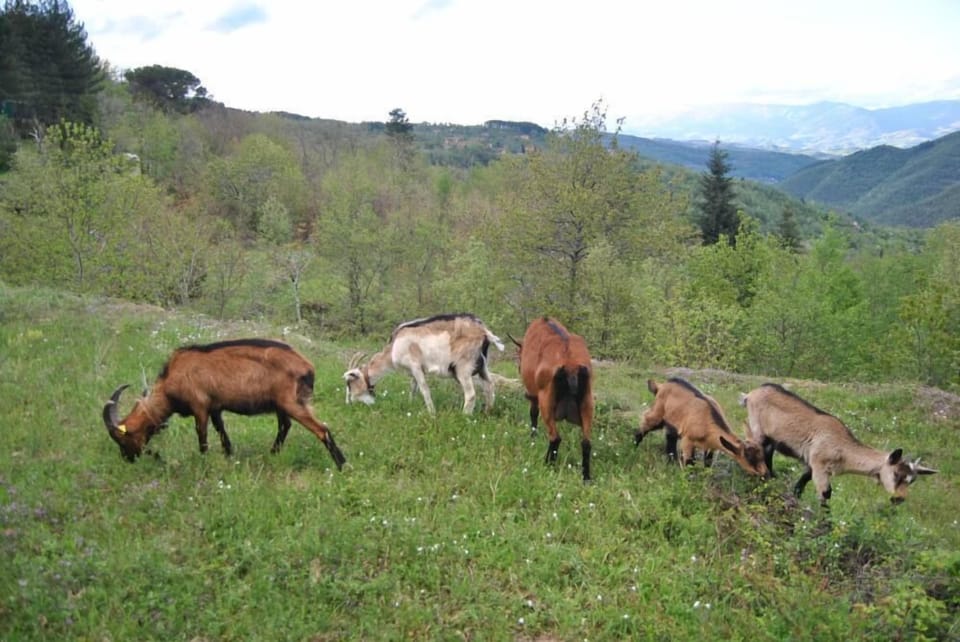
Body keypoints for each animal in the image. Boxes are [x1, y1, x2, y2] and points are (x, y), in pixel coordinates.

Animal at [101, 338, 346, 469]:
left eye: (121, 439)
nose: (127, 459)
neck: (173, 377)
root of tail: (307, 367)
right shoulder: (215, 407)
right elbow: (221, 432)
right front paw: (229, 456)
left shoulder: (199, 406)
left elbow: (202, 437)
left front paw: (203, 462)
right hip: (281, 405)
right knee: (285, 426)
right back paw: (273, 453)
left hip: (292, 402)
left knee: (322, 429)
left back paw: (342, 465)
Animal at [343, 313, 504, 414]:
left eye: (350, 383)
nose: (349, 403)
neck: (394, 346)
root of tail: (484, 331)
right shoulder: (413, 371)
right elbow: (413, 388)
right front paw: (410, 404)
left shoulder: (415, 366)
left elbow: (424, 389)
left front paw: (432, 413)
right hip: (482, 365)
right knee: (489, 385)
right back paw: (488, 412)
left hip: (463, 367)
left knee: (471, 394)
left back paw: (464, 416)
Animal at [513, 317, 595, 482]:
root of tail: (571, 366)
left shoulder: (534, 394)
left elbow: (533, 414)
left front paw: (533, 436)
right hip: (587, 402)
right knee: (586, 442)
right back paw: (586, 477)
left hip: (547, 401)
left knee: (555, 437)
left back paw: (548, 464)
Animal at [636, 378, 768, 477]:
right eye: (749, 458)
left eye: (762, 455)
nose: (765, 474)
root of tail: (661, 386)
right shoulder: (687, 440)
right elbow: (689, 463)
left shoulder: (711, 445)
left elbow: (708, 462)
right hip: (658, 413)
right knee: (645, 421)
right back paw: (634, 445)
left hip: (672, 423)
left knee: (670, 438)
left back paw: (671, 461)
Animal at [739, 383, 935, 505]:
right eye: (896, 474)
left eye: (912, 480)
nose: (899, 498)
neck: (843, 448)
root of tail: (750, 394)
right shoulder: (820, 464)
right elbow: (825, 494)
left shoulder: (812, 463)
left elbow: (801, 483)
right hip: (757, 428)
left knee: (768, 453)